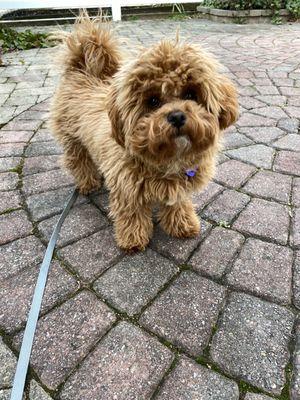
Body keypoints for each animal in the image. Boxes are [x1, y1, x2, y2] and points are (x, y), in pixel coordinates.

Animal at [51, 16, 239, 253]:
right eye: (153, 101)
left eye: (190, 94)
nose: (177, 116)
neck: (168, 159)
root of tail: (81, 70)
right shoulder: (126, 188)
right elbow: (132, 213)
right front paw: (132, 238)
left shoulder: (178, 186)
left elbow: (178, 203)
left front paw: (182, 223)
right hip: (73, 139)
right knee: (79, 161)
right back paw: (88, 183)